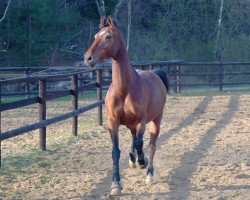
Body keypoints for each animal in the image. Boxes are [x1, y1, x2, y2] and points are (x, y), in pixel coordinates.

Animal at [84, 16, 170, 195]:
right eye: (95, 36)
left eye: (108, 36)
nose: (88, 58)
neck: (124, 90)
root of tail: (156, 74)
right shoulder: (113, 122)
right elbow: (116, 151)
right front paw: (116, 184)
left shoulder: (141, 121)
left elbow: (140, 143)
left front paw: (142, 161)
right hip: (131, 124)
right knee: (133, 138)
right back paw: (133, 160)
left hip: (156, 120)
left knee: (151, 145)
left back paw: (149, 172)